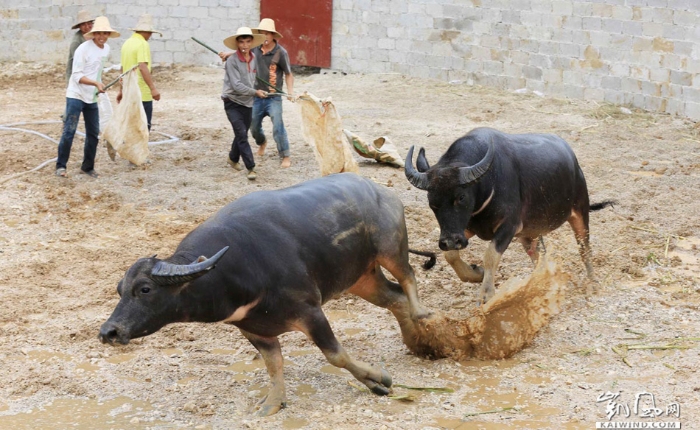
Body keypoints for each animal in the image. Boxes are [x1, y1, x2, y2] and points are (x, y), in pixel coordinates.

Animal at [100, 172, 434, 416]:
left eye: (145, 289)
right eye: (119, 290)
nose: (109, 332)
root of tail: (381, 191)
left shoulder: (310, 311)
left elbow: (335, 355)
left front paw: (377, 380)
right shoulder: (254, 330)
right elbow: (274, 365)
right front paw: (272, 404)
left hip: (391, 248)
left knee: (408, 276)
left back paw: (422, 314)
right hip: (361, 278)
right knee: (394, 298)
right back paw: (417, 342)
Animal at [404, 126, 612, 304]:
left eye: (460, 197)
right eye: (432, 202)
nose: (449, 241)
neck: (487, 184)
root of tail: (574, 163)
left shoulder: (509, 226)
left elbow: (490, 255)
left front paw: (486, 294)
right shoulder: (466, 228)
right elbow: (451, 255)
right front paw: (476, 274)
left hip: (580, 211)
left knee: (584, 247)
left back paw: (592, 282)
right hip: (528, 234)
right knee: (538, 256)